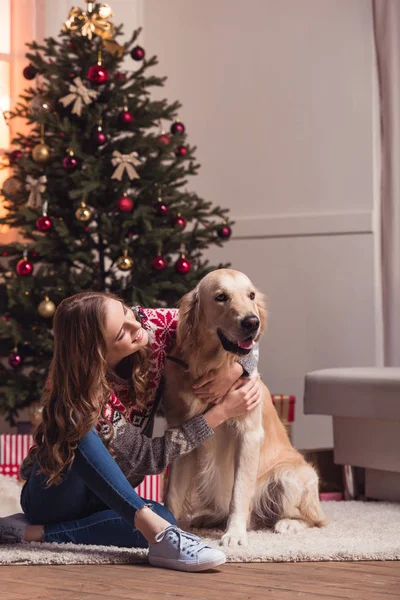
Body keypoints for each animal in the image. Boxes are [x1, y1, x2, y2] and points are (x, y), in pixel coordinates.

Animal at [162, 270, 324, 548]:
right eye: (221, 297)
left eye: (251, 295)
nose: (252, 322)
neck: (213, 365)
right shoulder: (183, 438)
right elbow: (172, 493)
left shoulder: (248, 435)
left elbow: (238, 493)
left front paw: (235, 534)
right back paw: (207, 518)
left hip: (290, 477)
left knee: (314, 520)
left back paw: (288, 523)